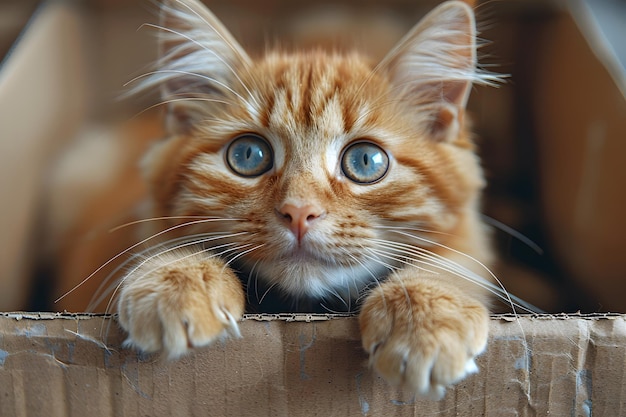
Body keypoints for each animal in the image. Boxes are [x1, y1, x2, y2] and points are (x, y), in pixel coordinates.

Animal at [114, 0, 500, 396]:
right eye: (248, 155)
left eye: (366, 161)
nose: (299, 212)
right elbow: (169, 240)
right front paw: (177, 279)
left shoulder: (470, 236)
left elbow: (451, 263)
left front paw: (426, 317)